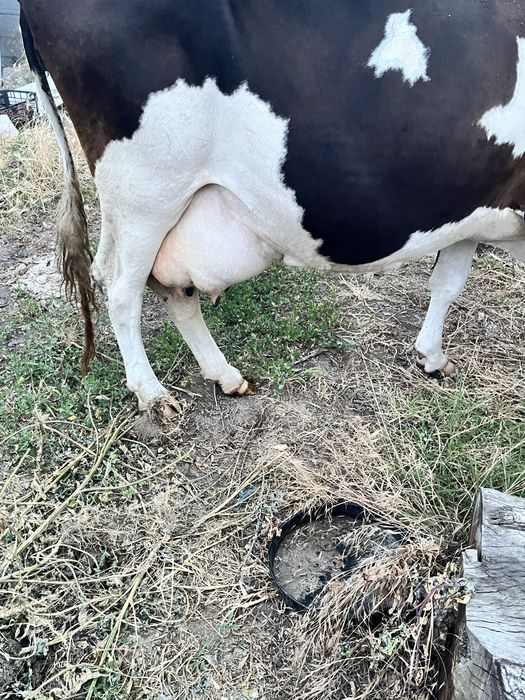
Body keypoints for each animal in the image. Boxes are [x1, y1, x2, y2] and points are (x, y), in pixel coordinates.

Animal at [18, 0, 525, 415]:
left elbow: (447, 283)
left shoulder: (470, 213)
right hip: (145, 190)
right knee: (120, 283)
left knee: (172, 290)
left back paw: (225, 376)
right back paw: (153, 395)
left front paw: (431, 357)